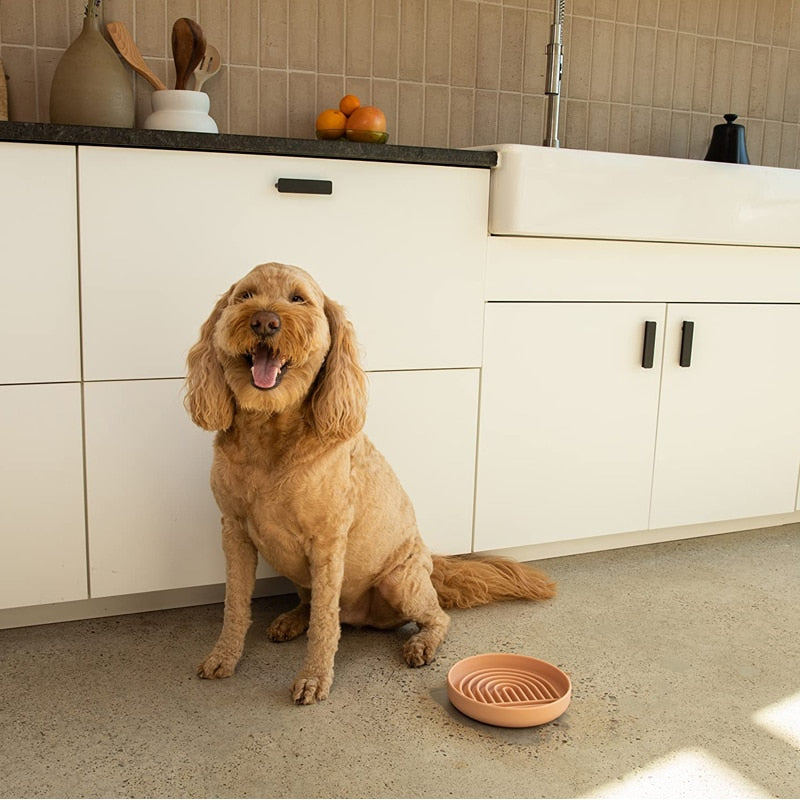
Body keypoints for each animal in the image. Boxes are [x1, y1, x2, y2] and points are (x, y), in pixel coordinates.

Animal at [186, 264, 556, 708]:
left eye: (298, 299)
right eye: (245, 296)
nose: (264, 321)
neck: (270, 436)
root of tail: (432, 562)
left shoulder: (328, 543)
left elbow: (325, 626)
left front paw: (314, 678)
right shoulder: (234, 532)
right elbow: (235, 606)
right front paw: (223, 657)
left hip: (398, 581)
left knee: (437, 617)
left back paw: (421, 644)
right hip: (302, 574)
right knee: (311, 603)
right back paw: (292, 620)